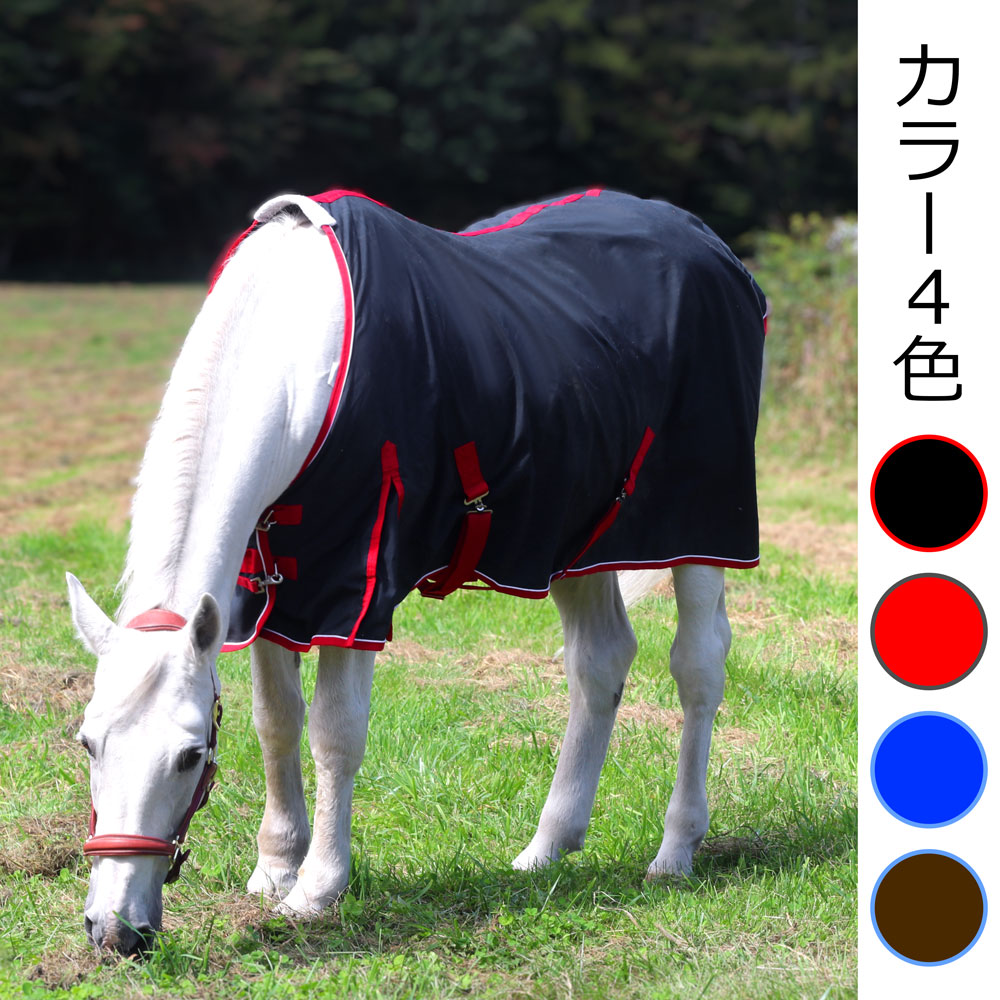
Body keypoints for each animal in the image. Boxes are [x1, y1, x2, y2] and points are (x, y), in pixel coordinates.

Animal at [67, 188, 766, 954]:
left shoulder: (355, 594)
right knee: (600, 661)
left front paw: (317, 888)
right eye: (88, 742)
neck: (300, 364)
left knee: (698, 666)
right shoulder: (268, 593)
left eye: (191, 756)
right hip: (579, 536)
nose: (115, 930)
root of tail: (709, 244)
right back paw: (547, 846)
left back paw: (675, 850)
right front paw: (275, 866)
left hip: (702, 526)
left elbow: (335, 733)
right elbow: (276, 722)